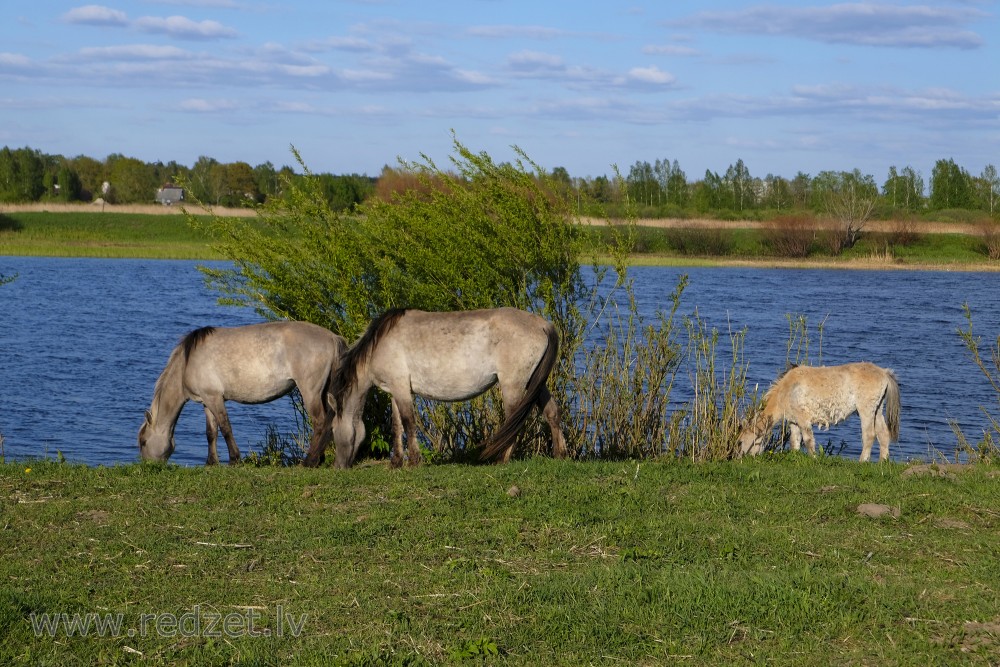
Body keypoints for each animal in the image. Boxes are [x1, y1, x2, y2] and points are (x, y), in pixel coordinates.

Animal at [138, 322, 348, 464]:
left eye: (143, 442)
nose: (148, 467)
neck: (187, 362)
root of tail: (332, 338)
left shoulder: (215, 399)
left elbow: (225, 428)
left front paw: (234, 459)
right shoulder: (207, 400)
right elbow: (211, 432)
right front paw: (211, 462)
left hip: (310, 391)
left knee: (319, 422)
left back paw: (309, 461)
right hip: (324, 391)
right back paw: (318, 459)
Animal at [304, 308, 568, 470]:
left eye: (332, 430)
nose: (338, 466)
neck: (379, 344)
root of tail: (544, 324)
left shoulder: (401, 387)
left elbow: (409, 422)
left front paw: (414, 461)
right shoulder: (395, 390)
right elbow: (397, 425)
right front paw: (396, 462)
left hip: (513, 384)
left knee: (514, 421)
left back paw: (501, 459)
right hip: (535, 383)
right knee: (552, 412)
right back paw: (560, 454)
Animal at [740, 362, 904, 462]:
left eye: (740, 441)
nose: (740, 458)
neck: (786, 390)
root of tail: (884, 373)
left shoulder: (803, 419)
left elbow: (808, 440)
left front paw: (813, 458)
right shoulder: (794, 421)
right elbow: (794, 441)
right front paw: (795, 456)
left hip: (866, 410)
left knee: (869, 435)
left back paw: (862, 461)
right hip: (878, 409)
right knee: (883, 434)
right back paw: (883, 461)